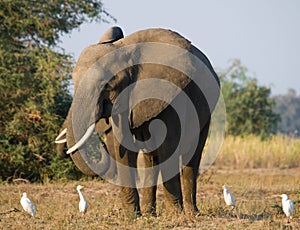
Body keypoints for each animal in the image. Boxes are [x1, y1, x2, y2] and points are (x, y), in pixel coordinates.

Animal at [55, 26, 219, 216]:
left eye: (107, 85)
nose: (100, 144)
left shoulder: (170, 95)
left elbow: (169, 145)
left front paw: (174, 215)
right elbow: (121, 146)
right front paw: (132, 216)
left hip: (207, 108)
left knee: (192, 154)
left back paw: (191, 213)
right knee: (151, 157)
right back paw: (149, 213)